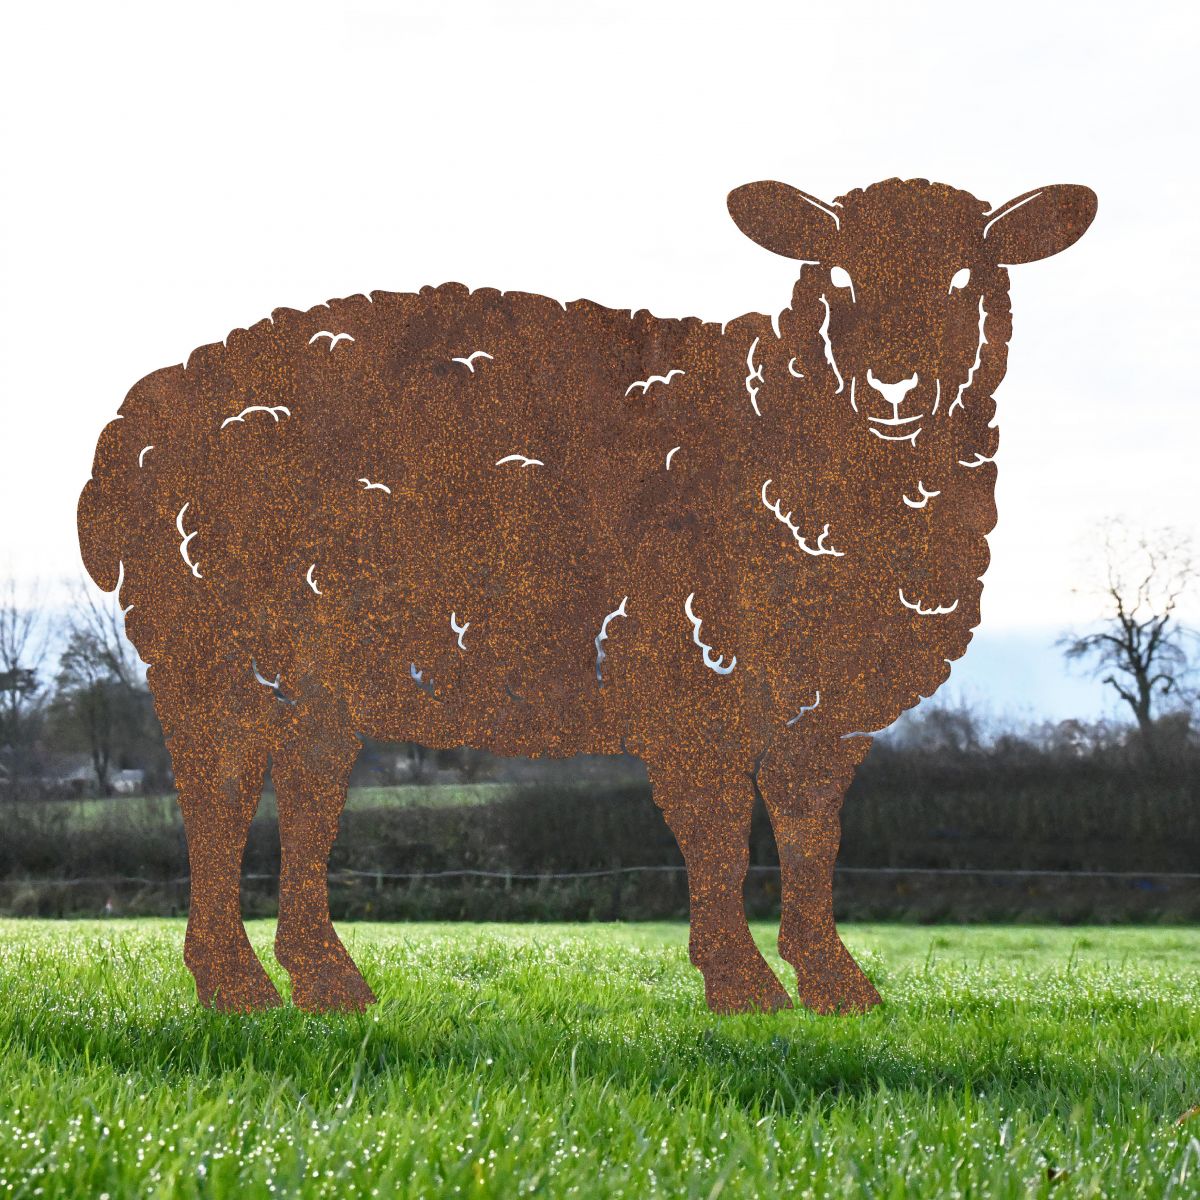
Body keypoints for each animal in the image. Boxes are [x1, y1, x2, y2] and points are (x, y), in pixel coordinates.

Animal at [77, 177, 1097, 1014]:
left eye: (970, 279)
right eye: (837, 275)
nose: (894, 387)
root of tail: (133, 423)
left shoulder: (824, 712)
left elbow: (813, 841)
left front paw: (836, 987)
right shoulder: (691, 675)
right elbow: (720, 837)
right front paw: (743, 987)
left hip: (311, 684)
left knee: (305, 803)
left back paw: (326, 984)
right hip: (210, 660)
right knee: (215, 806)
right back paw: (235, 986)